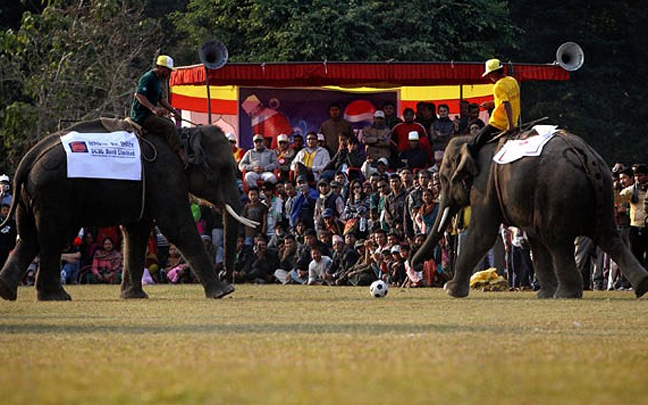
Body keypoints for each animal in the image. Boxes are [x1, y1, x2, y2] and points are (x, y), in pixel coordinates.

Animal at [0, 118, 256, 298]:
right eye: (223, 170)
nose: (226, 276)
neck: (184, 135)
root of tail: (28, 158)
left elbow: (137, 230)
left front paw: (133, 296)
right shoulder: (166, 176)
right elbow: (176, 227)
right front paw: (222, 292)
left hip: (31, 195)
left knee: (30, 238)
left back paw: (8, 291)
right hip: (55, 193)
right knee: (53, 237)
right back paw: (55, 296)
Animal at [410, 131, 648, 298]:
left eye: (443, 178)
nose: (418, 265)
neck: (472, 142)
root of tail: (585, 155)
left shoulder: (485, 186)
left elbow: (482, 234)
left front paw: (449, 290)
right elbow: (533, 238)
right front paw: (543, 295)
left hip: (558, 194)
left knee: (558, 243)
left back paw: (566, 294)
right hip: (603, 192)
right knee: (609, 237)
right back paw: (642, 285)